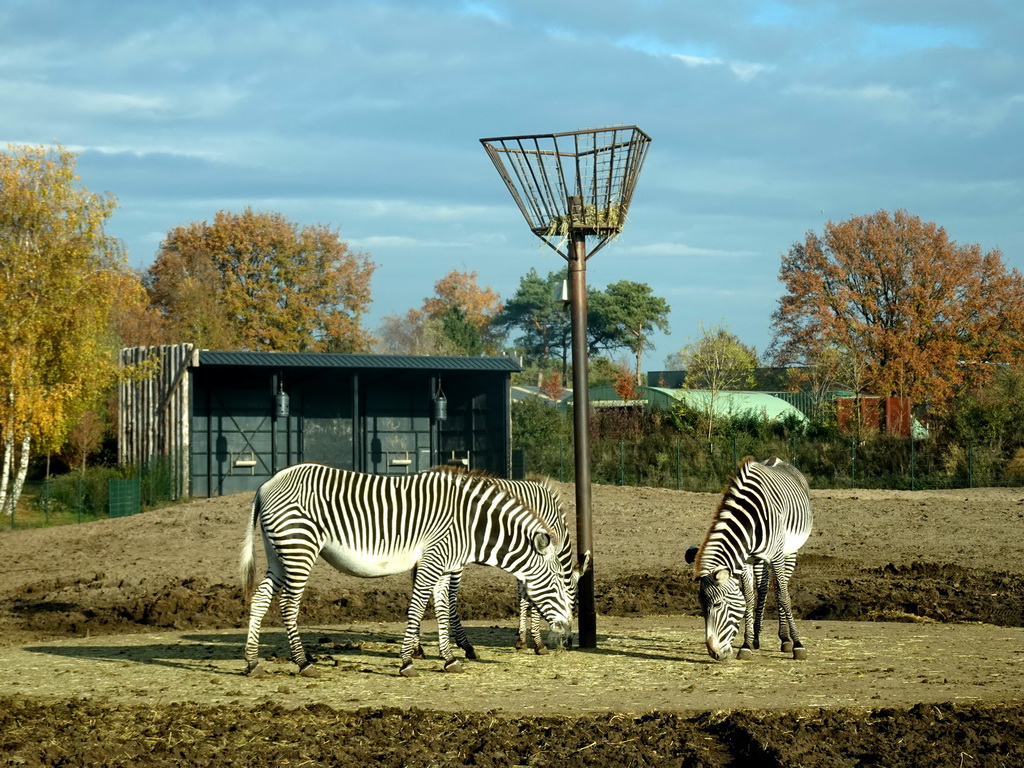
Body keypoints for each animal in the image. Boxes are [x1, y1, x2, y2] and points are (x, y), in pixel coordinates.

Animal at [240, 460, 577, 675]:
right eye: (559, 584)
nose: (568, 631)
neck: (471, 526)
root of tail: (266, 485)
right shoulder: (432, 560)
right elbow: (417, 609)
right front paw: (407, 662)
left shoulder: (444, 566)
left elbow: (441, 609)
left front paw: (449, 659)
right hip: (299, 547)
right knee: (287, 605)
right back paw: (303, 663)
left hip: (279, 552)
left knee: (260, 599)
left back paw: (253, 662)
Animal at [684, 456, 811, 663]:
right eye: (701, 606)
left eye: (717, 604)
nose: (714, 653)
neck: (750, 523)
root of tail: (777, 459)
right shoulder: (745, 560)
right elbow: (749, 598)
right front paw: (746, 645)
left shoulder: (777, 556)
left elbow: (783, 596)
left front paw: (798, 645)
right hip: (759, 559)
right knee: (763, 588)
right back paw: (757, 637)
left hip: (790, 551)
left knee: (779, 590)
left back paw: (785, 639)